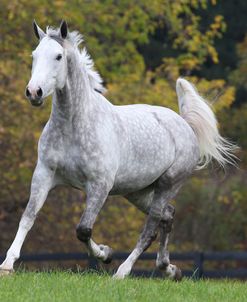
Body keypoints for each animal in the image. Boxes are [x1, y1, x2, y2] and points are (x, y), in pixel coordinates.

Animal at [0, 21, 235, 280]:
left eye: (58, 56)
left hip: (167, 186)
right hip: (137, 192)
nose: (34, 92)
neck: (73, 125)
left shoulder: (99, 185)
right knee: (168, 216)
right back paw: (169, 269)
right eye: (34, 55)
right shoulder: (44, 174)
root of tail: (185, 125)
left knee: (150, 230)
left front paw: (105, 253)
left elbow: (83, 229)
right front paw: (8, 265)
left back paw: (122, 272)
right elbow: (28, 217)